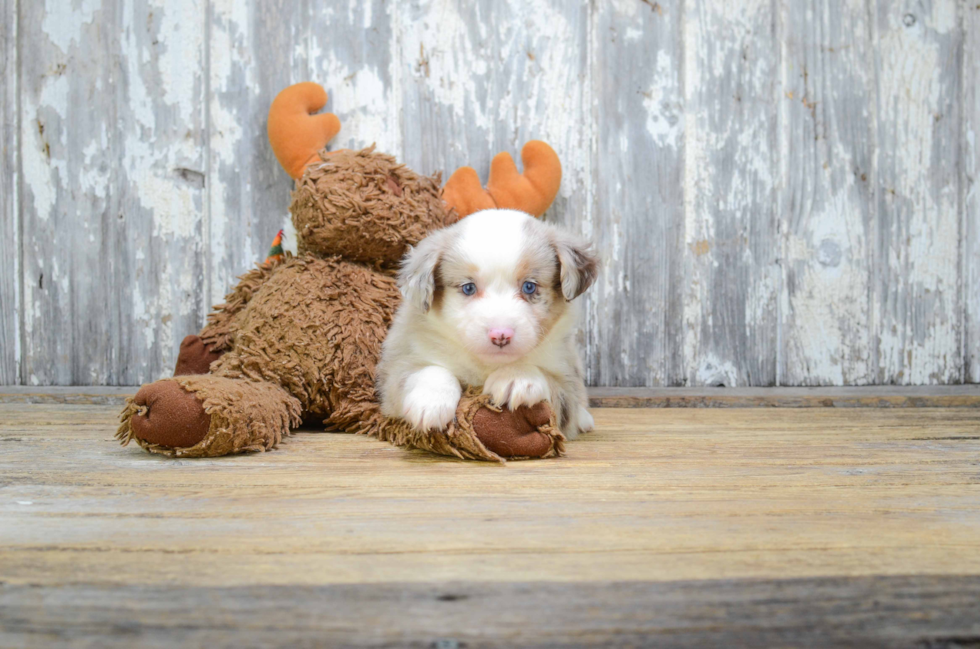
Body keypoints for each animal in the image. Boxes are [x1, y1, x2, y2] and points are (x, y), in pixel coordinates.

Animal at [378, 208, 600, 438]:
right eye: (468, 288)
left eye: (529, 286)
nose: (500, 335)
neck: (486, 364)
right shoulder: (397, 365)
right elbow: (425, 370)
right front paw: (430, 400)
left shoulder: (566, 376)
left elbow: (551, 383)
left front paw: (517, 377)